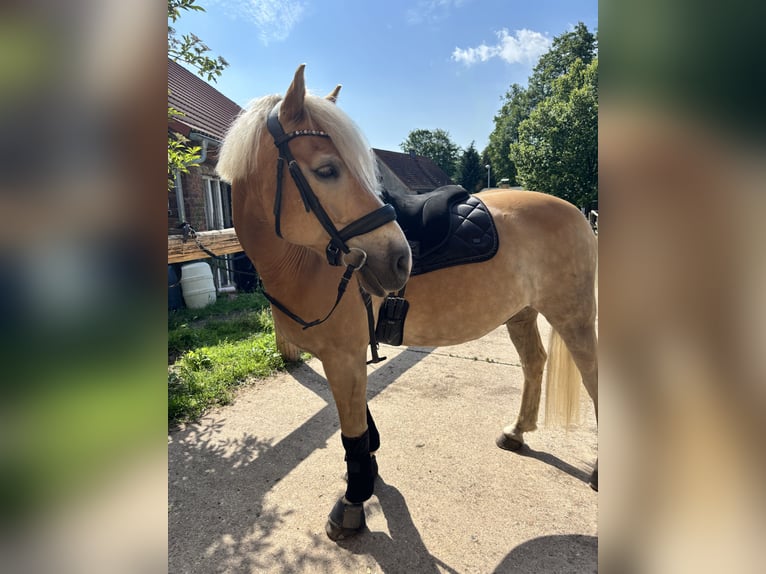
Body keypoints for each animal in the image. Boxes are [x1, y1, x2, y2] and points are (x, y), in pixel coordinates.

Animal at [216, 64, 598, 541]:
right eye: (326, 170)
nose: (400, 260)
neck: (303, 262)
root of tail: (577, 213)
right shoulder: (344, 358)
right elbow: (360, 423)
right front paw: (367, 474)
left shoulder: (343, 358)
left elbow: (352, 431)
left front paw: (354, 500)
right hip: (522, 315)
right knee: (534, 363)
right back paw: (517, 432)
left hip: (573, 316)